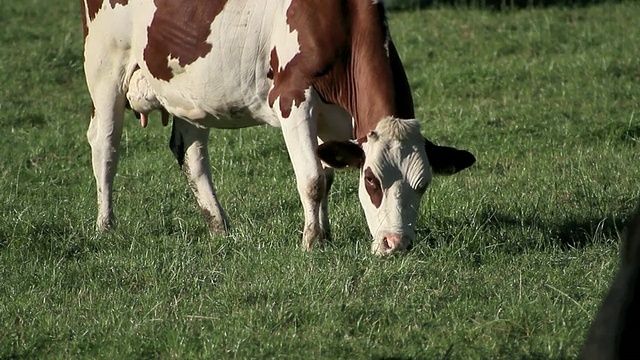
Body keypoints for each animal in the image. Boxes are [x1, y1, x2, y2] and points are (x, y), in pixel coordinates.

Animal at [81, 0, 476, 256]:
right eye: (371, 181)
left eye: (423, 184)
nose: (396, 245)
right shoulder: (292, 98)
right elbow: (313, 179)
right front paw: (311, 243)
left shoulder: (336, 117)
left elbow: (327, 173)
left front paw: (325, 234)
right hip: (104, 63)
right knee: (105, 144)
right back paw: (105, 225)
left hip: (190, 89)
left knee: (190, 152)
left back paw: (219, 227)